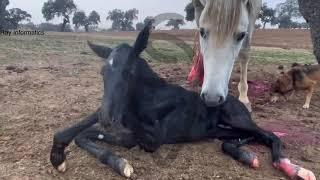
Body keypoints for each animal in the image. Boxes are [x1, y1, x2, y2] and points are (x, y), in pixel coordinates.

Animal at [50, 24, 316, 180]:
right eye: (103, 72)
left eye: (128, 72)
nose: (109, 118)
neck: (146, 98)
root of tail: (238, 104)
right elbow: (82, 130)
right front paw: (58, 158)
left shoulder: (148, 140)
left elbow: (93, 133)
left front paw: (120, 162)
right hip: (220, 131)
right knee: (244, 138)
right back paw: (247, 157)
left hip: (236, 118)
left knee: (268, 134)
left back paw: (294, 168)